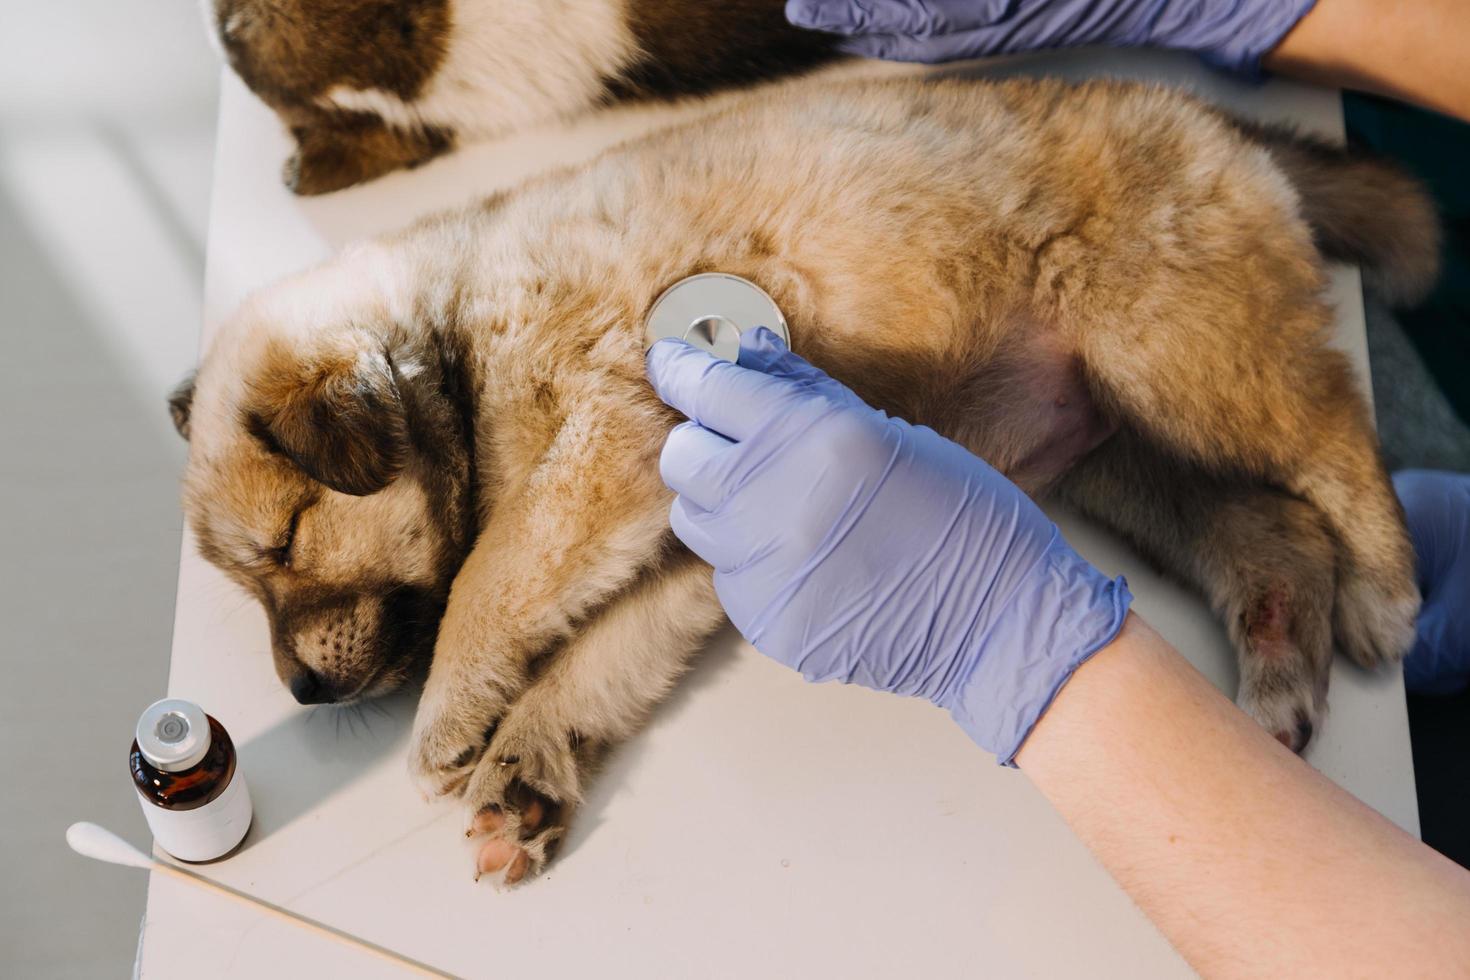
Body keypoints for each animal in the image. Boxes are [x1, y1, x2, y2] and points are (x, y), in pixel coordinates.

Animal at [169, 76, 1434, 887]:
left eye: (284, 544)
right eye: (253, 582)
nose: (299, 695)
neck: (458, 329)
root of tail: (1218, 124)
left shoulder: (603, 448)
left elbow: (494, 573)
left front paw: (451, 715)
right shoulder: (693, 537)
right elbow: (601, 652)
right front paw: (531, 761)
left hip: (1181, 352)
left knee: (1333, 433)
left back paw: (1386, 586)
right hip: (1126, 443)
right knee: (1272, 526)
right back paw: (1279, 657)